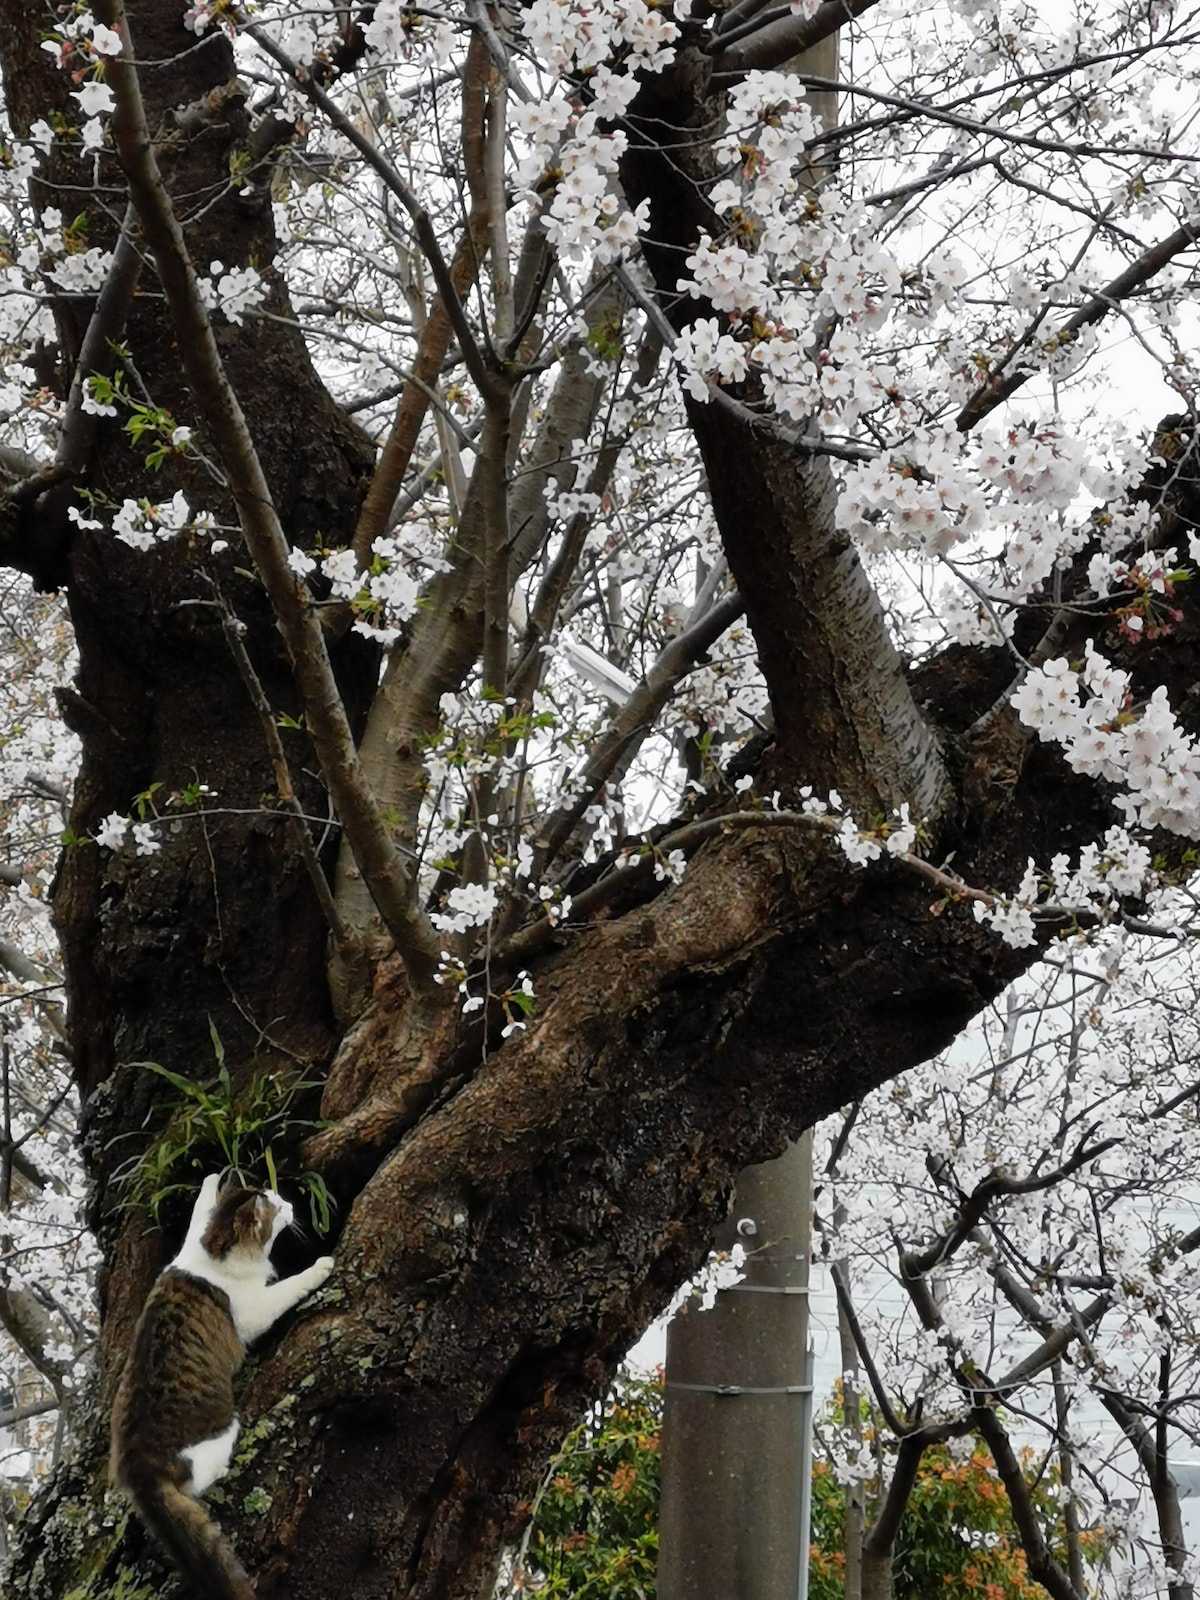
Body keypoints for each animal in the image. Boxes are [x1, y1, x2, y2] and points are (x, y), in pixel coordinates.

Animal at [110, 1177, 334, 1600]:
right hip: (214, 1437)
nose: (290, 1203)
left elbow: (202, 1199)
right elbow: (291, 1286)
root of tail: (138, 1469)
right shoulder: (256, 1310)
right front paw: (322, 1265)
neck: (212, 1253)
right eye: (275, 1207)